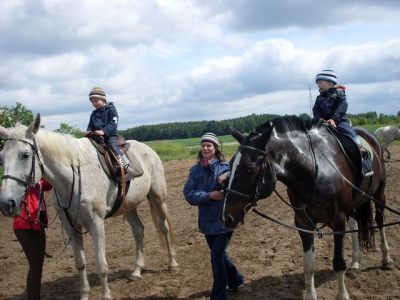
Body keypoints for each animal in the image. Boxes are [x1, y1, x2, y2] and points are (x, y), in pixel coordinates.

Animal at [0, 114, 178, 300]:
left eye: (25, 155)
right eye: (1, 158)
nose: (7, 203)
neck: (74, 179)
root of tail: (148, 150)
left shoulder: (96, 224)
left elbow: (101, 265)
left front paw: (106, 296)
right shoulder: (71, 226)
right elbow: (80, 263)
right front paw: (84, 295)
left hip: (158, 198)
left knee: (164, 227)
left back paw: (172, 264)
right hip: (128, 206)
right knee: (138, 231)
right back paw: (137, 271)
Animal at [222, 115, 394, 300]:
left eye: (250, 169)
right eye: (230, 165)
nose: (226, 217)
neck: (315, 172)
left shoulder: (338, 222)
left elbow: (338, 262)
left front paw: (342, 295)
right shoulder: (303, 223)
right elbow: (308, 264)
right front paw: (311, 295)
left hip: (379, 193)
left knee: (380, 220)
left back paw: (386, 259)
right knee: (354, 224)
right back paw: (355, 262)